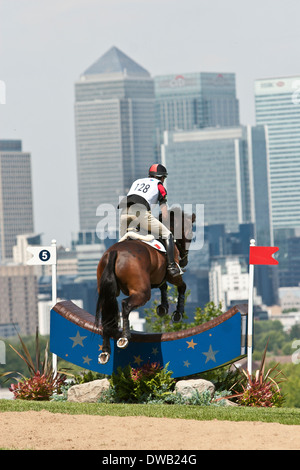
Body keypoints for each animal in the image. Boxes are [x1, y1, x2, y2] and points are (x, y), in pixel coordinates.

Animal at [95, 207, 196, 366]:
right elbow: (182, 287)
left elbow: (163, 287)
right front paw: (177, 313)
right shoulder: (172, 276)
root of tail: (114, 253)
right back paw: (124, 338)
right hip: (142, 292)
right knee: (126, 305)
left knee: (108, 315)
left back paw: (105, 352)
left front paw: (163, 307)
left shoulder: (158, 277)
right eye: (190, 235)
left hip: (107, 292)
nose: (184, 261)